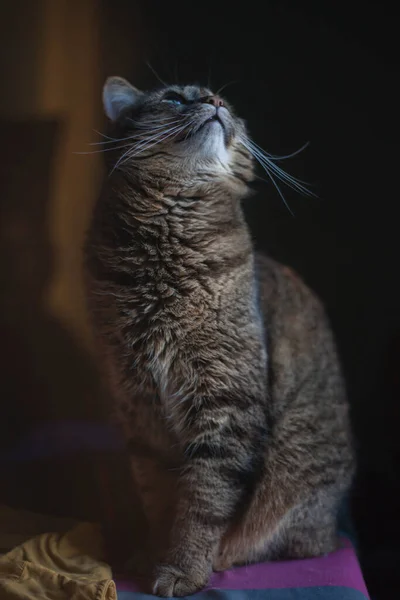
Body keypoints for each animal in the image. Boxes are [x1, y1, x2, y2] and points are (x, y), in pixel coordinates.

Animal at [84, 76, 354, 596]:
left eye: (226, 102)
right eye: (174, 98)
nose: (214, 102)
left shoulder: (226, 402)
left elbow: (204, 501)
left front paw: (184, 569)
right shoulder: (140, 410)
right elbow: (159, 496)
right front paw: (154, 554)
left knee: (295, 540)